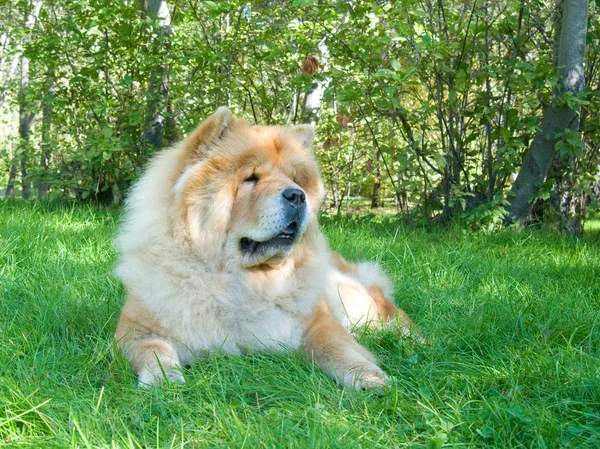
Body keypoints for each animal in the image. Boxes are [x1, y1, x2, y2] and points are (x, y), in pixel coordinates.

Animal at [115, 107, 420, 386]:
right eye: (251, 177)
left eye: (295, 180)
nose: (297, 196)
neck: (245, 281)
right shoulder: (135, 328)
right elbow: (154, 348)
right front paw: (163, 379)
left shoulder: (318, 322)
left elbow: (335, 346)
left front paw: (369, 377)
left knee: (390, 311)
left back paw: (414, 341)